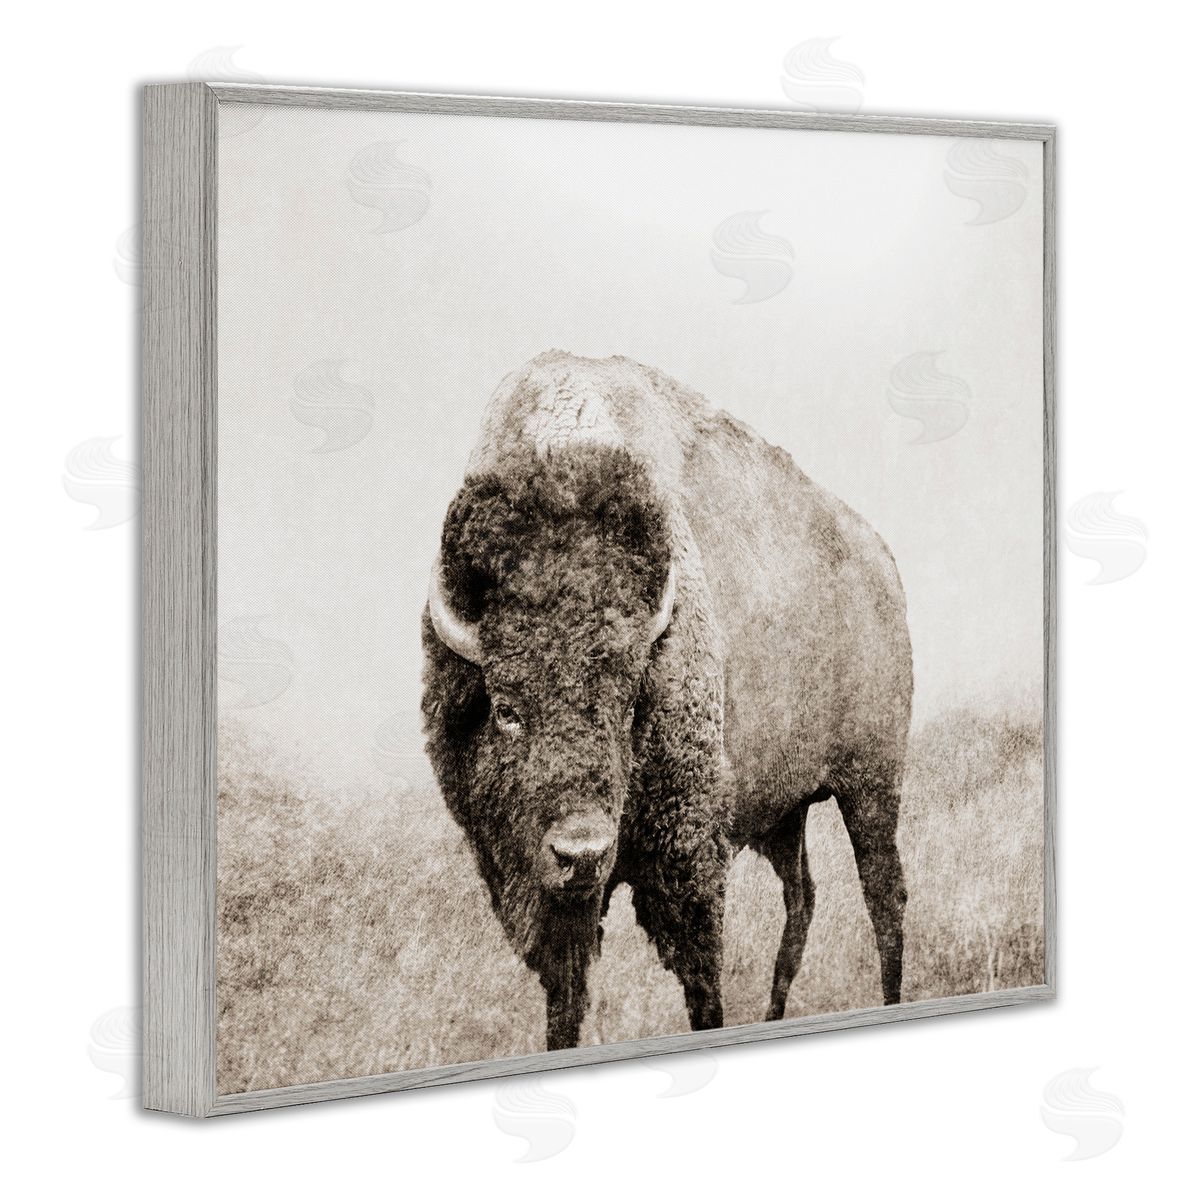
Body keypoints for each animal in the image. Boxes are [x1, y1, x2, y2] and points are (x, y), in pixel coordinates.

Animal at [421, 351, 912, 1050]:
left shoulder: (688, 863)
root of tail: (881, 559)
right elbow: (565, 1002)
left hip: (871, 784)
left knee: (883, 896)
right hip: (785, 812)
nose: (581, 852)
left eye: (628, 701)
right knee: (803, 899)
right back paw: (775, 1013)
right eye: (507, 709)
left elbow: (702, 984)